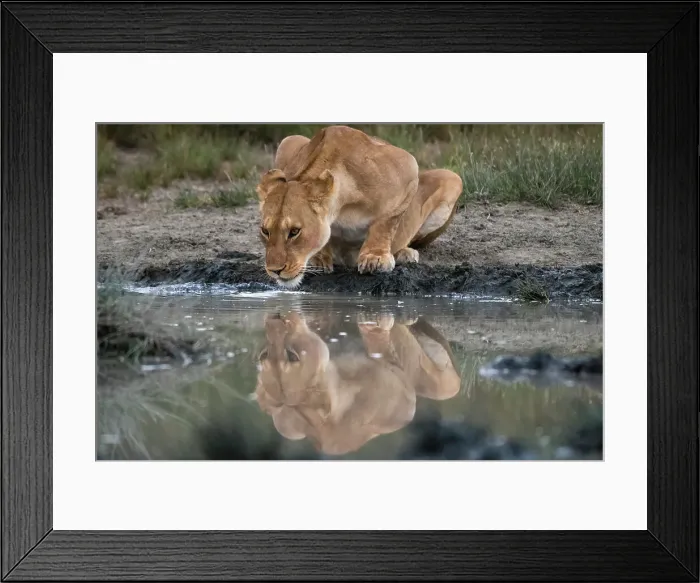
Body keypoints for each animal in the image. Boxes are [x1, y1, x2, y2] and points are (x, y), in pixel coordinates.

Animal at [255, 125, 463, 288]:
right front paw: (319, 257)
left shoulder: (407, 165)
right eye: (265, 231)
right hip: (289, 141)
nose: (274, 270)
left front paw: (375, 258)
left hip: (453, 177)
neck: (341, 209)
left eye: (294, 231)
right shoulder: (288, 143)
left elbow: (387, 221)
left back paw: (406, 253)